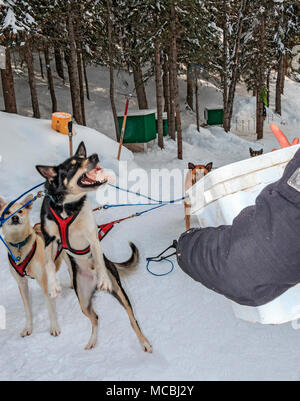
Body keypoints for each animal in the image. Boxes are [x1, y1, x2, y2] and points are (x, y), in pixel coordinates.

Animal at [35, 141, 152, 350]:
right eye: (72, 165)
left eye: (84, 157)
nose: (95, 156)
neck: (68, 208)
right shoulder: (49, 239)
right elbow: (48, 263)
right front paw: (54, 286)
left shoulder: (92, 236)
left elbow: (96, 255)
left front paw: (102, 277)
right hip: (83, 300)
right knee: (95, 317)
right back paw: (92, 340)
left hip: (120, 292)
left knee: (132, 319)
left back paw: (144, 342)